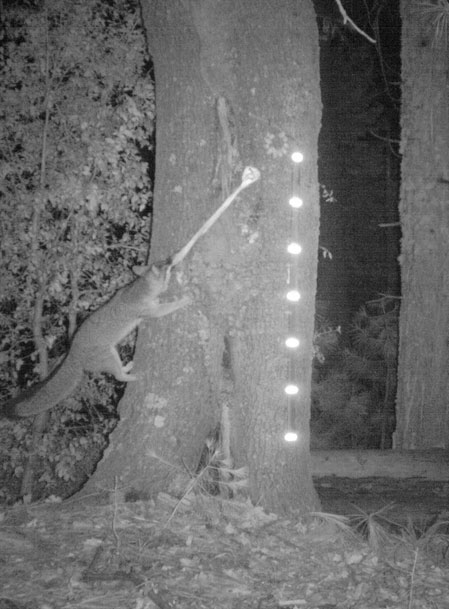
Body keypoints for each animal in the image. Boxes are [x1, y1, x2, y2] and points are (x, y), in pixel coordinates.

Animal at [3, 262, 189, 418]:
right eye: (166, 266)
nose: (172, 262)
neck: (139, 287)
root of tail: (73, 353)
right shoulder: (146, 310)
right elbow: (164, 308)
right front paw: (183, 301)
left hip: (110, 352)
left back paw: (125, 367)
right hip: (105, 356)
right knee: (118, 376)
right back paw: (130, 376)